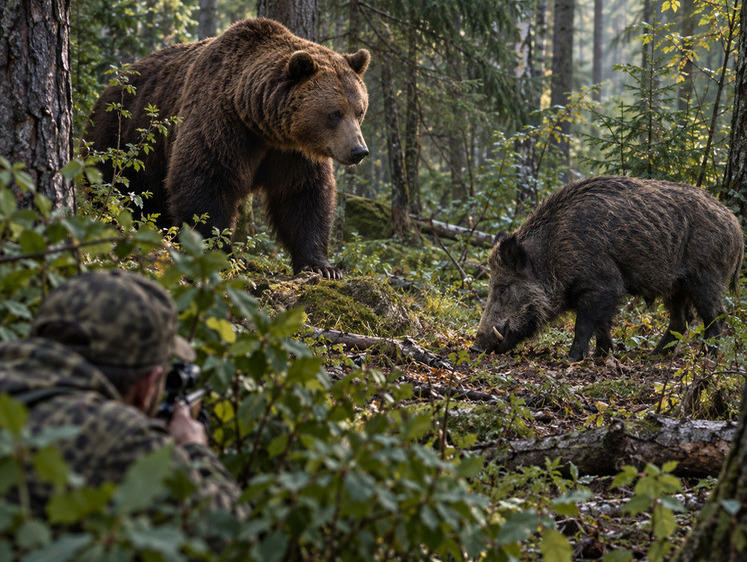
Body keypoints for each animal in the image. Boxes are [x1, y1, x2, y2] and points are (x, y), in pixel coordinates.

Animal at [86, 18, 371, 279]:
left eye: (359, 111)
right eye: (334, 113)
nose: (359, 151)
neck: (258, 121)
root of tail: (110, 85)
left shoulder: (292, 152)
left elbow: (303, 194)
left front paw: (322, 266)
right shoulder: (220, 123)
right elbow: (205, 181)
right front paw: (220, 254)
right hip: (120, 138)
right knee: (116, 189)